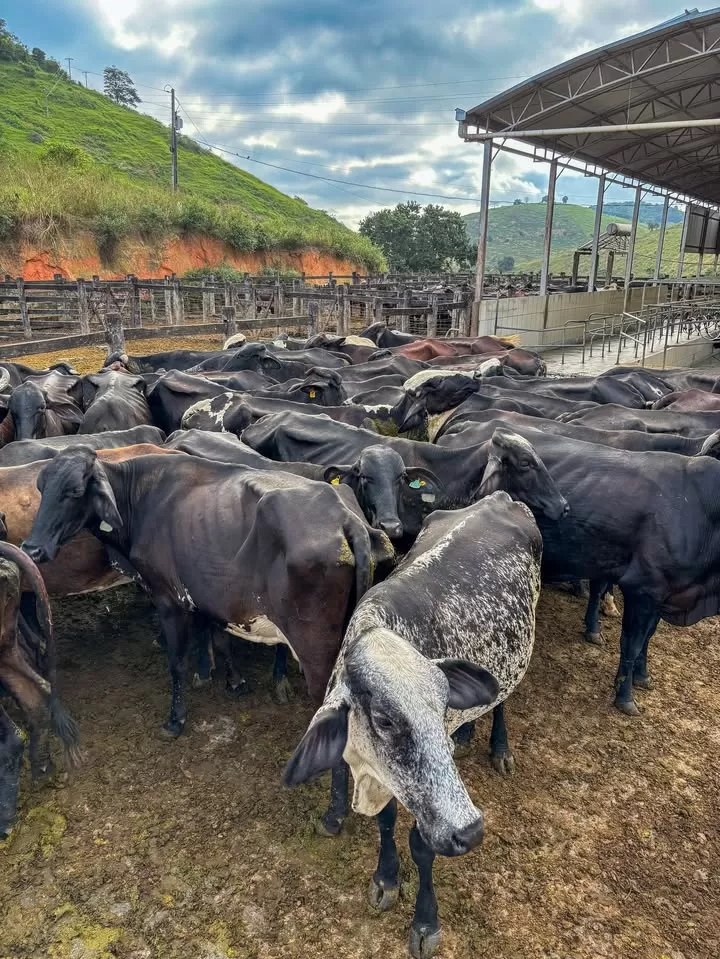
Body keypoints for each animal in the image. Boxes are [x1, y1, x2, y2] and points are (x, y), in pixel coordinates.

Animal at [22, 450, 396, 735]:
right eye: (41, 487)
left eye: (74, 491)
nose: (31, 548)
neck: (142, 497)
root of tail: (348, 519)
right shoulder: (210, 595)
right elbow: (219, 637)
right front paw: (233, 681)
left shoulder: (168, 599)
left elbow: (176, 663)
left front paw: (175, 720)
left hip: (317, 648)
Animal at [285, 491, 551, 959]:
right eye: (384, 721)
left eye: (441, 705)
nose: (470, 831)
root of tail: (500, 496)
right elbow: (386, 823)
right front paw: (385, 879)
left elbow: (422, 847)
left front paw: (425, 922)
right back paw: (467, 732)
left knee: (502, 699)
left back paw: (499, 748)